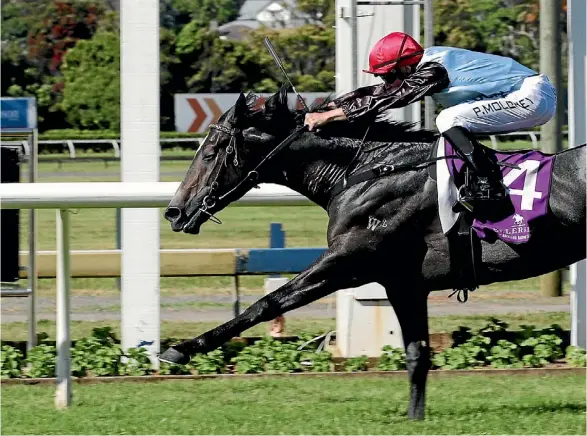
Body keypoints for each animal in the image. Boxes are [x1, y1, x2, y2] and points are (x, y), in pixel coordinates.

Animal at [162, 87, 587, 420]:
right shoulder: (402, 282)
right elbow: (417, 353)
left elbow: (267, 303)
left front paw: (182, 349)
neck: (367, 172)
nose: (174, 212)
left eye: (211, 150)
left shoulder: (347, 260)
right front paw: (415, 417)